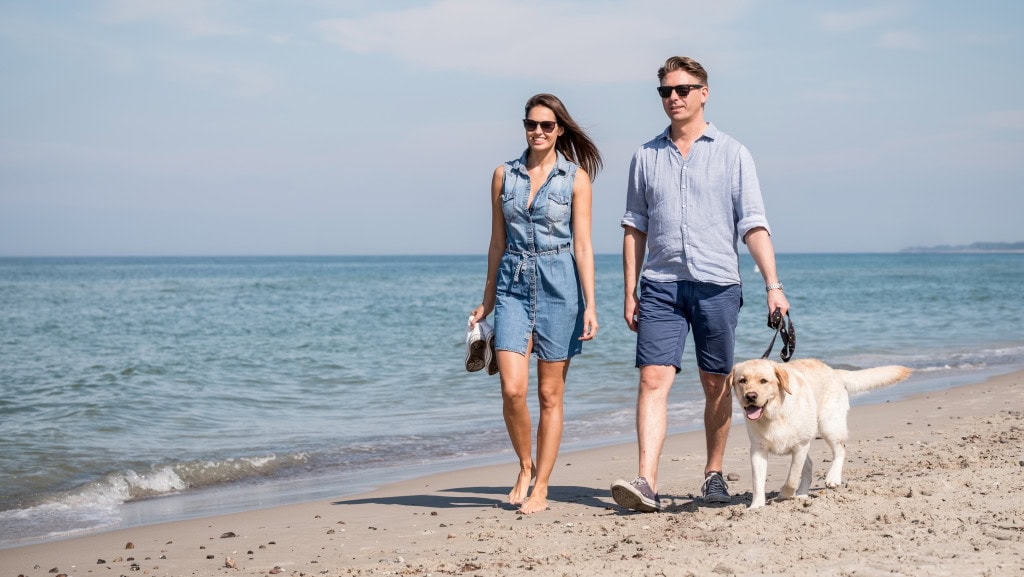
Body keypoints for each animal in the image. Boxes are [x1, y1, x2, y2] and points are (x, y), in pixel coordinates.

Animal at [729, 360, 913, 510]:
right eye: (742, 380)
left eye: (764, 381)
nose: (750, 396)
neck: (775, 415)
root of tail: (834, 371)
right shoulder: (758, 450)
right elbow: (757, 481)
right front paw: (756, 505)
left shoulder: (800, 445)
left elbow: (792, 478)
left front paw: (784, 494)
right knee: (810, 464)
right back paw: (802, 494)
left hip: (828, 425)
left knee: (840, 450)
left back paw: (832, 477)